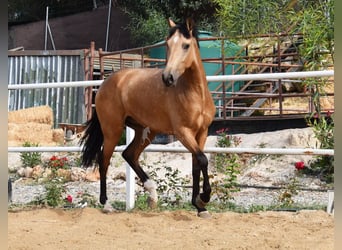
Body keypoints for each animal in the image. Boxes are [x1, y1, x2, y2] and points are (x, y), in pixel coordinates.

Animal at [80, 18, 215, 217]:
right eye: (167, 44)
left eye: (186, 45)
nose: (168, 78)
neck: (195, 94)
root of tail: (105, 83)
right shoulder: (183, 133)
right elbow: (202, 159)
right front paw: (204, 198)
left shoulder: (202, 132)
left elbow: (196, 165)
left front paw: (199, 206)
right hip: (113, 130)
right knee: (104, 160)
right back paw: (107, 204)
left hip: (145, 131)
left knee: (129, 154)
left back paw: (152, 193)